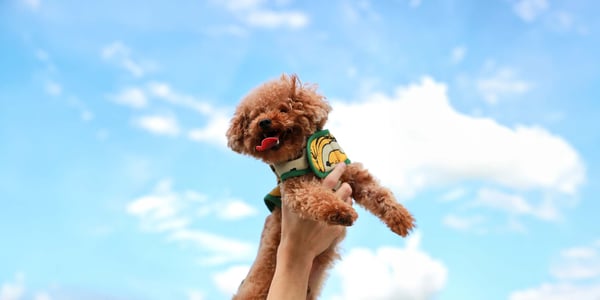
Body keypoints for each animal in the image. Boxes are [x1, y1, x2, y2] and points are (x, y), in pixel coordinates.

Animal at [227, 74, 414, 298]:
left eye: (283, 109)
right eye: (254, 117)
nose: (263, 122)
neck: (302, 161)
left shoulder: (351, 174)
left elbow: (378, 193)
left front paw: (401, 218)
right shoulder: (296, 189)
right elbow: (317, 197)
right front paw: (341, 212)